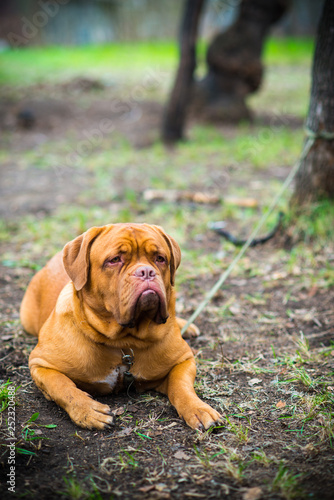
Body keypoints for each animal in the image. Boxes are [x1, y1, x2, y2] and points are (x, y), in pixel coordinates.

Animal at [19, 223, 220, 430]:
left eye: (160, 258)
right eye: (115, 260)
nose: (146, 271)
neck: (124, 341)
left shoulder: (183, 360)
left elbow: (181, 385)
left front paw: (198, 408)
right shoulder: (41, 364)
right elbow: (63, 386)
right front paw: (88, 411)